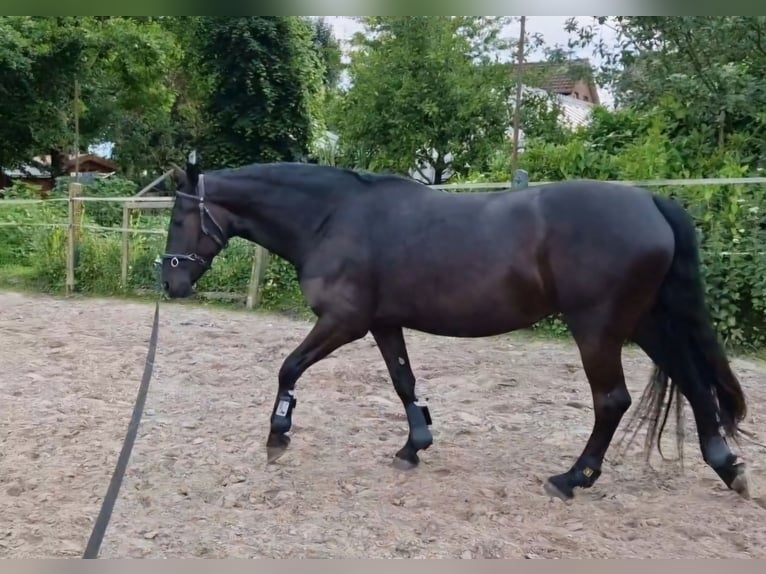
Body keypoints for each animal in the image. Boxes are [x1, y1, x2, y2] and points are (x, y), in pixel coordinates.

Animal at [159, 160, 752, 502]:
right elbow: (403, 382)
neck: (333, 217)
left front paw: (277, 436)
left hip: (599, 328)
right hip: (646, 323)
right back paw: (727, 468)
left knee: (612, 401)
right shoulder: (383, 323)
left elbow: (289, 367)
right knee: (694, 384)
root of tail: (649, 200)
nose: (170, 281)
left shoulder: (343, 323)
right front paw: (414, 445)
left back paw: (572, 479)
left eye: (178, 217)